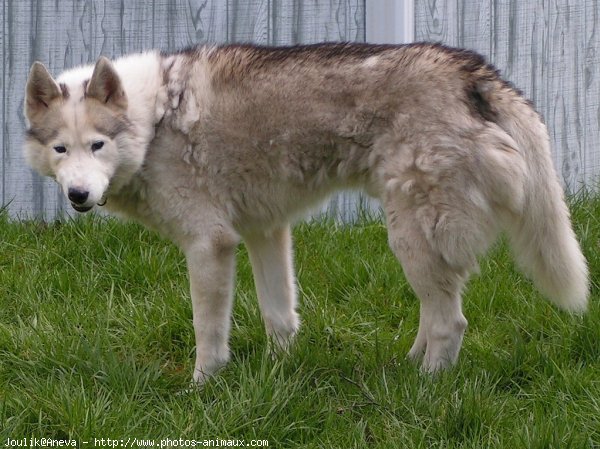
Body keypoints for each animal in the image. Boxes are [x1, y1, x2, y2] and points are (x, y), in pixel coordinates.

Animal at [22, 43, 584, 382]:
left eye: (97, 145)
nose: (78, 196)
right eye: (60, 150)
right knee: (437, 311)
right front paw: (277, 376)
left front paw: (203, 388)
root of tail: (473, 71)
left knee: (453, 323)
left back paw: (426, 388)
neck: (151, 122)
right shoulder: (265, 232)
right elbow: (279, 317)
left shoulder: (210, 244)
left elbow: (209, 331)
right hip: (421, 243)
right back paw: (407, 367)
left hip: (410, 239)